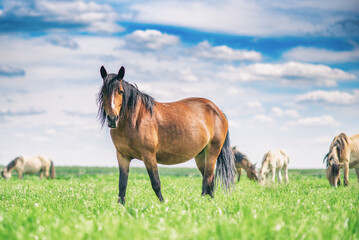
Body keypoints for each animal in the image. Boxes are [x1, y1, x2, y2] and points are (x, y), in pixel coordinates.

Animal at [97, 65, 236, 204]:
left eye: (121, 91)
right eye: (103, 92)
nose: (112, 119)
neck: (134, 119)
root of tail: (218, 111)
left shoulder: (149, 155)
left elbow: (156, 183)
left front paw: (162, 204)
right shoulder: (122, 156)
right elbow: (122, 185)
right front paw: (121, 206)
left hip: (212, 153)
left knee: (207, 179)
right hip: (201, 155)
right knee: (210, 180)